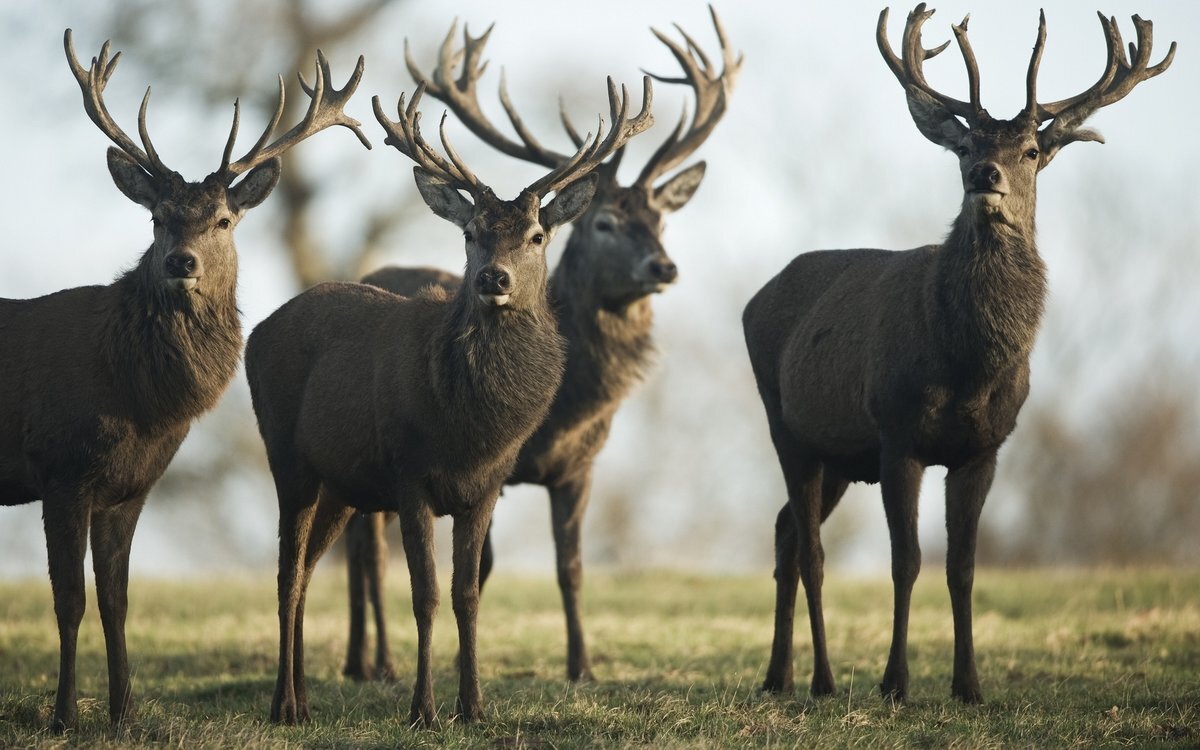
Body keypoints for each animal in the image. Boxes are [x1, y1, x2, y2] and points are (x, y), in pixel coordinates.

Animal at [0, 32, 369, 729]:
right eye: (157, 217)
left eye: (223, 220)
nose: (181, 262)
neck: (139, 400)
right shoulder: (61, 469)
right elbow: (69, 602)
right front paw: (63, 717)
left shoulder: (129, 487)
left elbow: (116, 601)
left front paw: (123, 714)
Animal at [246, 74, 657, 720]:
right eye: (470, 234)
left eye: (537, 235)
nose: (494, 278)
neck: (472, 429)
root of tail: (255, 333)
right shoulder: (409, 474)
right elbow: (426, 595)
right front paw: (423, 710)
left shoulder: (486, 485)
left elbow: (468, 593)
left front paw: (474, 706)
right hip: (287, 457)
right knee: (288, 572)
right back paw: (286, 705)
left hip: (341, 484)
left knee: (309, 570)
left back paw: (308, 698)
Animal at [340, 7, 739, 686]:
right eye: (604, 222)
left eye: (660, 219)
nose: (663, 266)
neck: (568, 410)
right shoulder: (487, 468)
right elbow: (481, 569)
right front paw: (460, 665)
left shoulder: (580, 466)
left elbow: (569, 568)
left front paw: (582, 667)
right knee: (365, 550)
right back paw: (374, 663)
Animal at [744, 5, 1176, 705]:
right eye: (967, 146)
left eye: (1031, 150)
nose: (985, 177)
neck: (969, 367)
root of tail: (755, 300)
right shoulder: (898, 435)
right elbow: (907, 562)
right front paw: (895, 682)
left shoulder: (984, 447)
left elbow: (964, 567)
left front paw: (969, 684)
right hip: (787, 426)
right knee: (810, 549)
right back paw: (822, 679)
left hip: (839, 453)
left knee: (785, 532)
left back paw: (777, 676)